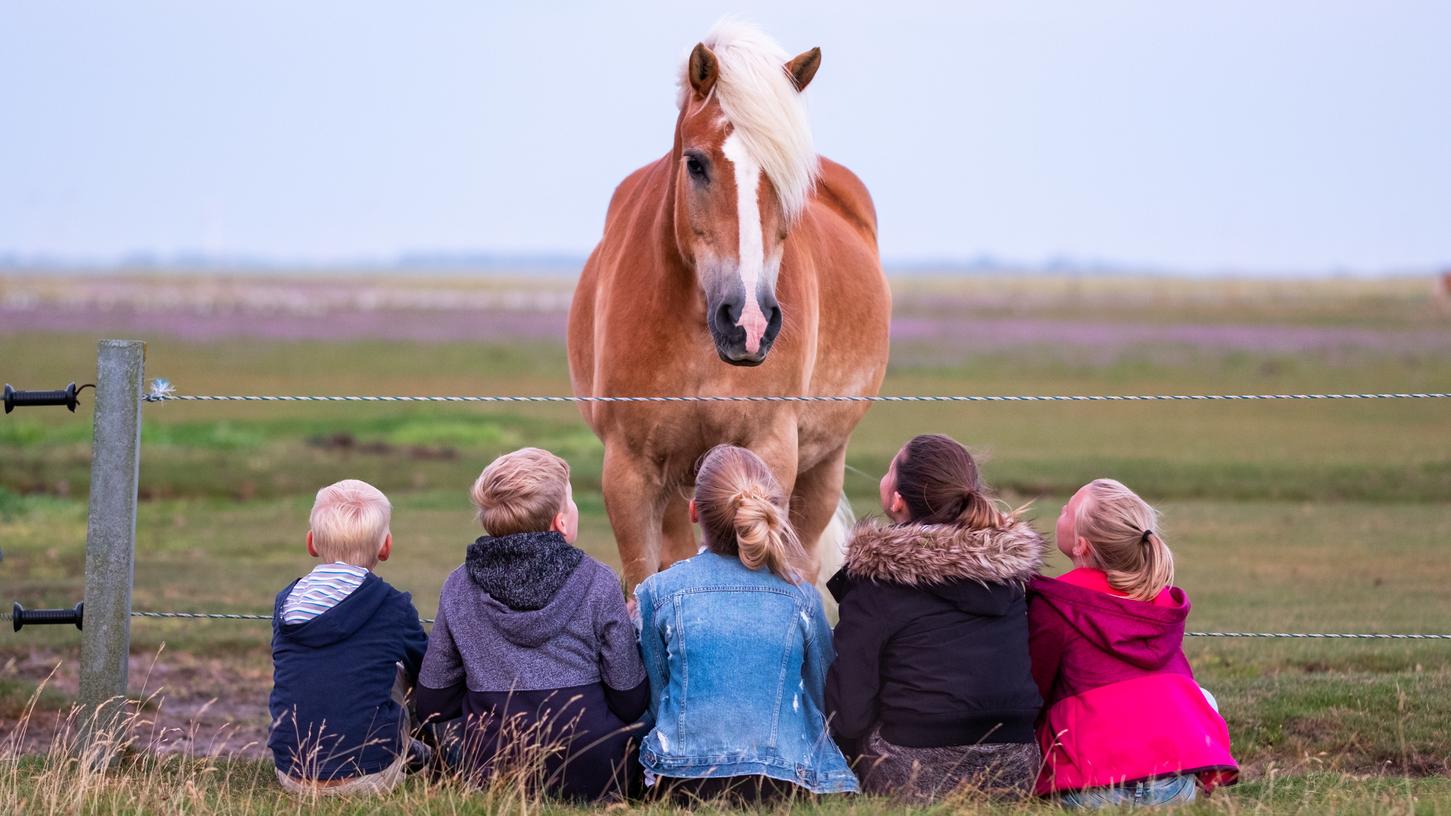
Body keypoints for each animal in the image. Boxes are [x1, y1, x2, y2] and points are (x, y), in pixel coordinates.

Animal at [568, 20, 888, 589]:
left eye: (790, 178)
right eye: (695, 163)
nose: (749, 323)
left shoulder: (770, 452)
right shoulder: (630, 472)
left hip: (824, 463)